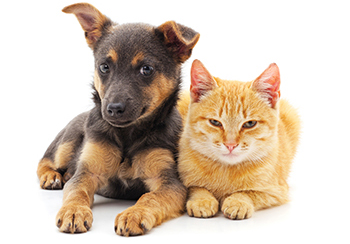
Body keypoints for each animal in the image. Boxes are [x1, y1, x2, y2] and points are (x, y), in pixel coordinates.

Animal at [37, 2, 200, 236]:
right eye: (104, 67)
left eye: (146, 69)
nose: (113, 109)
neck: (127, 135)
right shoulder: (87, 172)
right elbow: (76, 191)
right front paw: (74, 211)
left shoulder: (168, 182)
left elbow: (149, 197)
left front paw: (135, 214)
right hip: (66, 144)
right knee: (45, 161)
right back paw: (52, 176)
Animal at [178, 59, 300, 219]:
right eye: (215, 122)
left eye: (250, 124)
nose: (230, 145)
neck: (226, 170)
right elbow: (195, 187)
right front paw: (202, 200)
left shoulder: (276, 191)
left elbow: (249, 192)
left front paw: (238, 201)